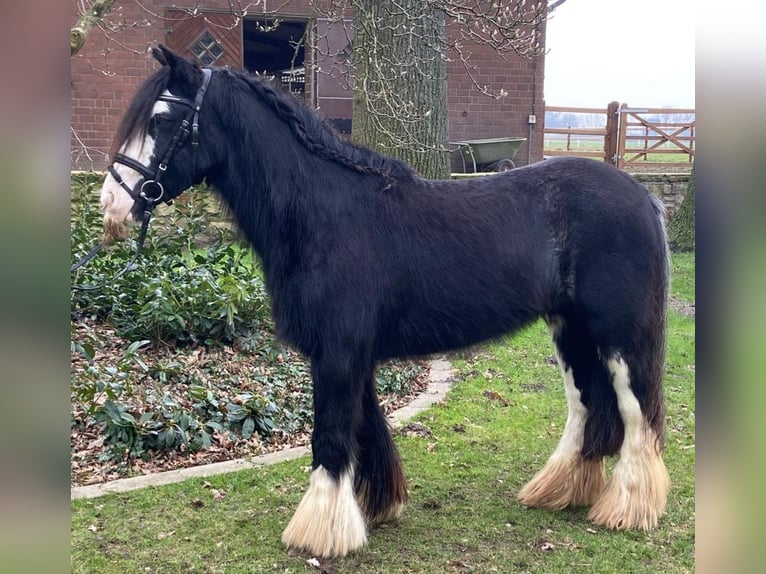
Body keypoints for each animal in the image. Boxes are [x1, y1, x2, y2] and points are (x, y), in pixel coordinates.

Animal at [99, 47, 668, 560]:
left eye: (162, 120)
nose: (112, 205)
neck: (322, 214)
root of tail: (643, 196)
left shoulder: (338, 352)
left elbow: (331, 436)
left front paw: (319, 533)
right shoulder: (350, 353)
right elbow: (365, 428)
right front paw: (372, 509)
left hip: (618, 335)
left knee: (636, 413)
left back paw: (628, 509)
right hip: (571, 330)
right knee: (586, 406)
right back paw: (560, 490)